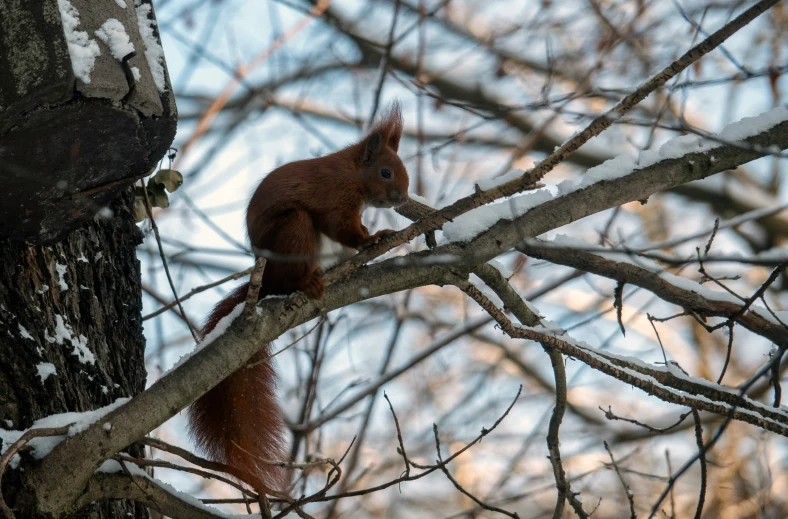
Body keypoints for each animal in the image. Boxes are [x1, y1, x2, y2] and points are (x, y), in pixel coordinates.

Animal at [185, 103, 406, 498]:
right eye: (385, 172)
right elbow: (341, 227)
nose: (404, 199)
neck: (351, 172)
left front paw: (376, 236)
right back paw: (309, 282)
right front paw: (371, 238)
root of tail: (268, 281)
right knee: (296, 267)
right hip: (295, 229)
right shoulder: (336, 198)